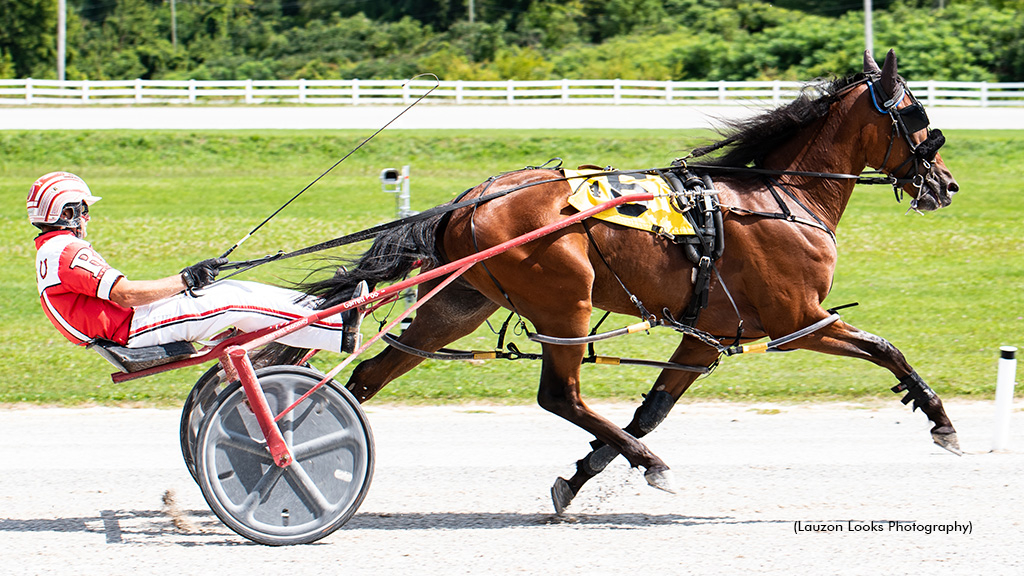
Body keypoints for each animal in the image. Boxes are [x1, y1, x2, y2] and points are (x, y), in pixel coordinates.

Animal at [268, 48, 954, 506]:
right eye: (917, 113)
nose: (944, 185)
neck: (778, 198)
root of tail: (470, 200)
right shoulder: (800, 320)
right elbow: (886, 348)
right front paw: (939, 419)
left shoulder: (706, 336)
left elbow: (651, 410)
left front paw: (580, 475)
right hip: (563, 304)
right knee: (559, 395)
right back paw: (652, 463)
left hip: (457, 304)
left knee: (369, 376)